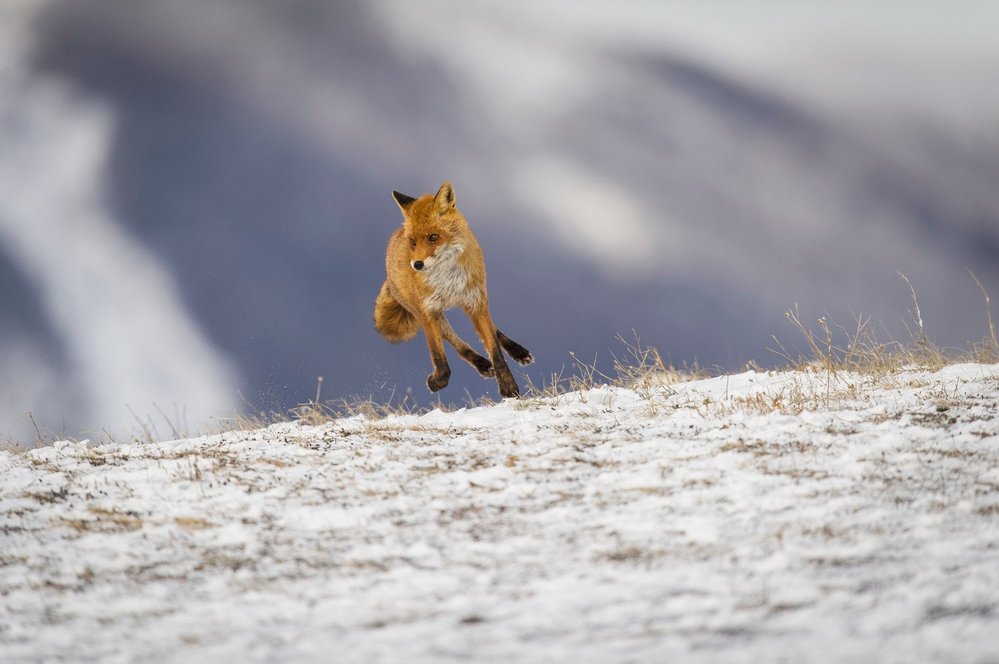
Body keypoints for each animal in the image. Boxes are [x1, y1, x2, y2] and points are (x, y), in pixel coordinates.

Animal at [374, 182, 532, 396]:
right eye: (413, 242)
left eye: (433, 237)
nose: (417, 265)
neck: (448, 280)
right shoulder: (428, 312)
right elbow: (441, 361)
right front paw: (436, 382)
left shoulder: (476, 302)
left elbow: (495, 350)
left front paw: (508, 387)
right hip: (424, 312)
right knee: (457, 342)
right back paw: (481, 363)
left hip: (475, 303)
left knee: (492, 329)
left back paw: (517, 351)